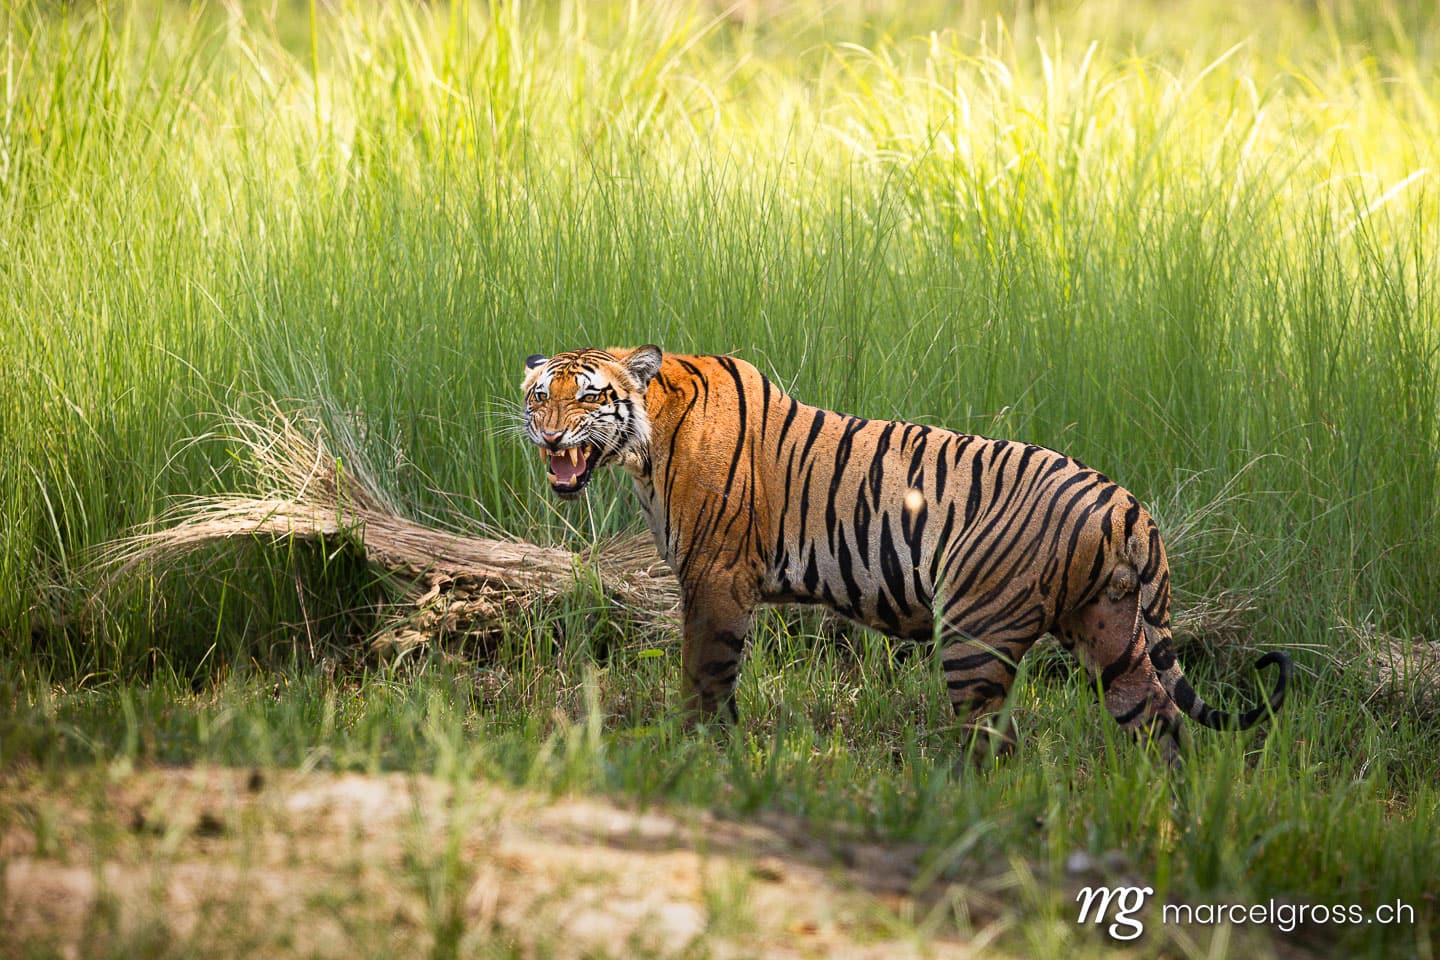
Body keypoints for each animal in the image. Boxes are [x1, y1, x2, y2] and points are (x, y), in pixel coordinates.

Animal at [520, 345, 1291, 762]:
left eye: (587, 398)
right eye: (538, 396)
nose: (549, 437)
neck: (644, 447)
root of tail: (1127, 505)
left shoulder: (715, 578)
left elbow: (703, 676)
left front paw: (696, 753)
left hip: (977, 633)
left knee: (994, 746)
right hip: (1113, 635)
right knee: (1161, 727)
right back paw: (1167, 820)